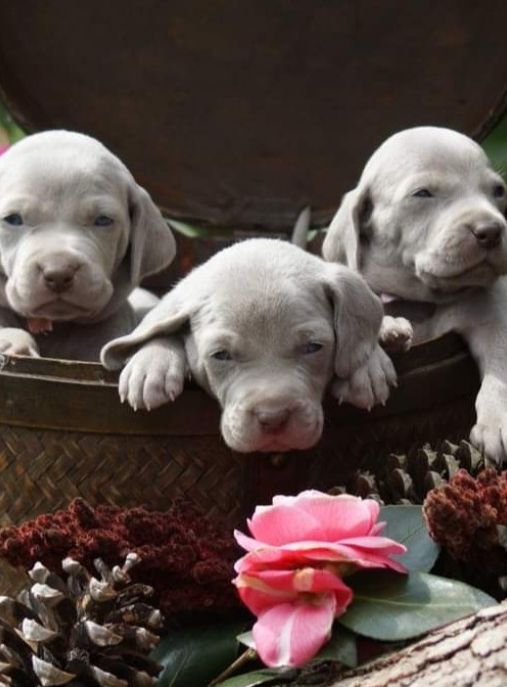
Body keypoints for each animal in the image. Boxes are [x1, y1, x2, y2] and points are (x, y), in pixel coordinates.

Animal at [102, 239, 396, 454]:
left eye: (313, 347)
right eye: (221, 355)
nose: (273, 417)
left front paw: (368, 368)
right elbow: (161, 326)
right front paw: (150, 366)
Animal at [324, 126, 507, 464]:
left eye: (499, 191)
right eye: (422, 194)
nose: (490, 231)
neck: (423, 300)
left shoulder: (493, 319)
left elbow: (501, 363)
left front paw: (498, 420)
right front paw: (374, 356)